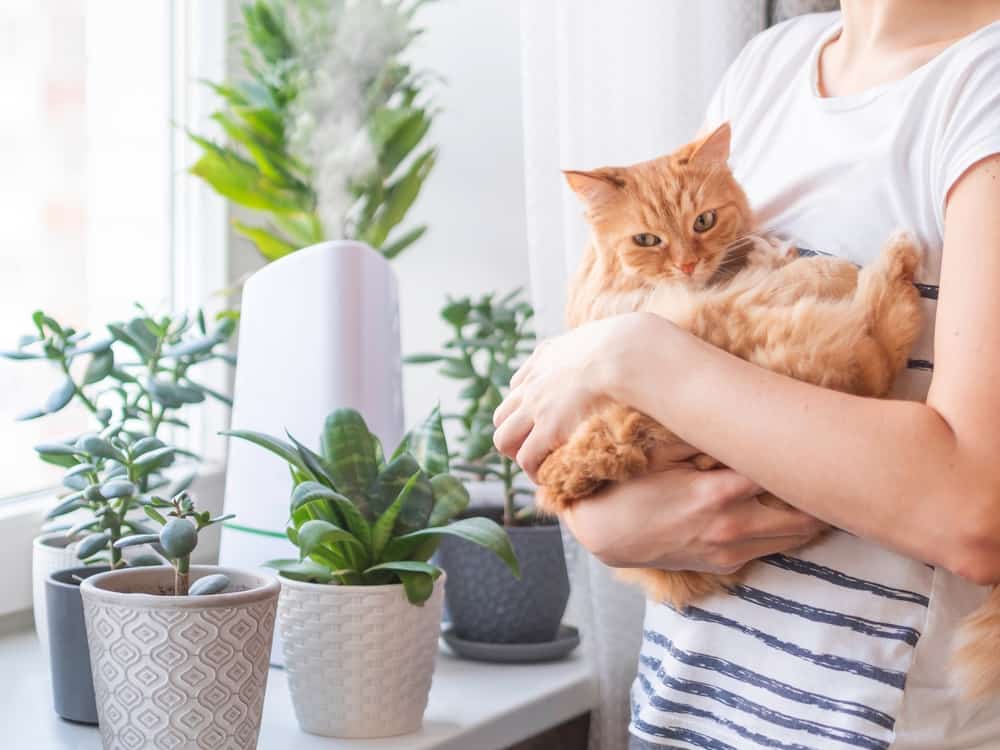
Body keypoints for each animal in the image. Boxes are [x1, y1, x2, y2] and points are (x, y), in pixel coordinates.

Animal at [540, 123, 920, 612]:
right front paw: (798, 259)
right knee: (880, 324)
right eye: (646, 241)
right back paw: (887, 255)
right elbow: (820, 276)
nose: (687, 264)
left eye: (704, 221)